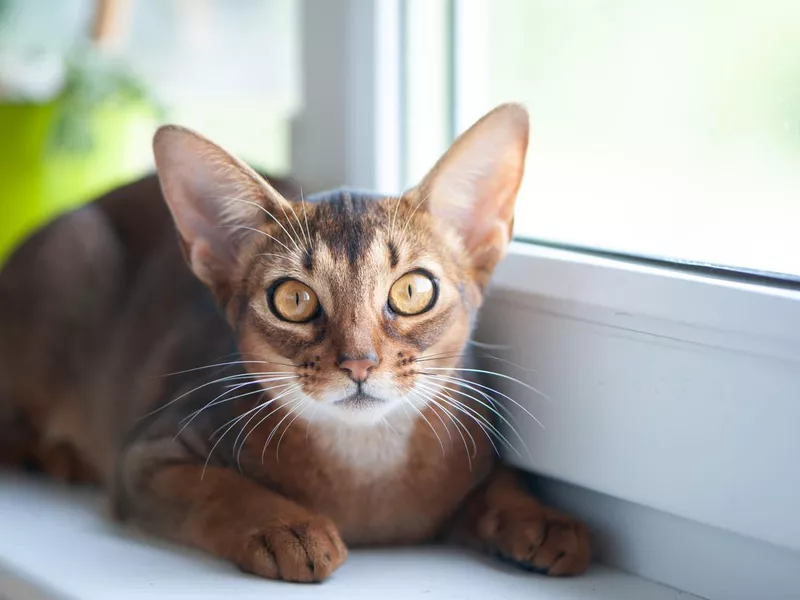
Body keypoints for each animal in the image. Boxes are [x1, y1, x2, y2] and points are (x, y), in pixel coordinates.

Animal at [0, 103, 588, 580]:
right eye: (294, 300)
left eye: (413, 290)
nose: (358, 363)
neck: (366, 469)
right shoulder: (145, 457)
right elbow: (217, 488)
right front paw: (287, 529)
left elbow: (500, 481)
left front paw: (541, 517)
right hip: (78, 250)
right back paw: (56, 456)